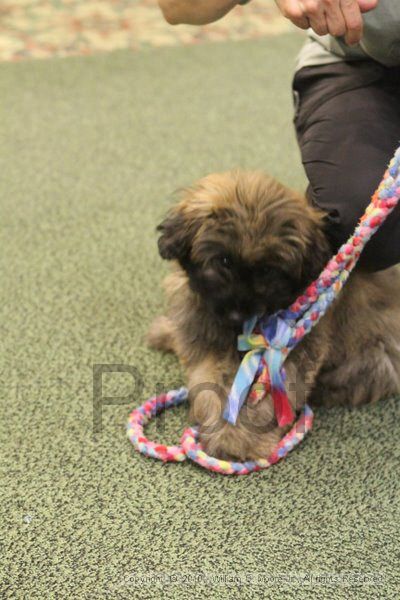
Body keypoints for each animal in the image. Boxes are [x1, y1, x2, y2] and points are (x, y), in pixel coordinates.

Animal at [147, 171, 400, 462]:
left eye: (268, 271)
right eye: (223, 261)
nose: (237, 312)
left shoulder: (289, 352)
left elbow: (264, 397)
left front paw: (237, 438)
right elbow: (212, 380)